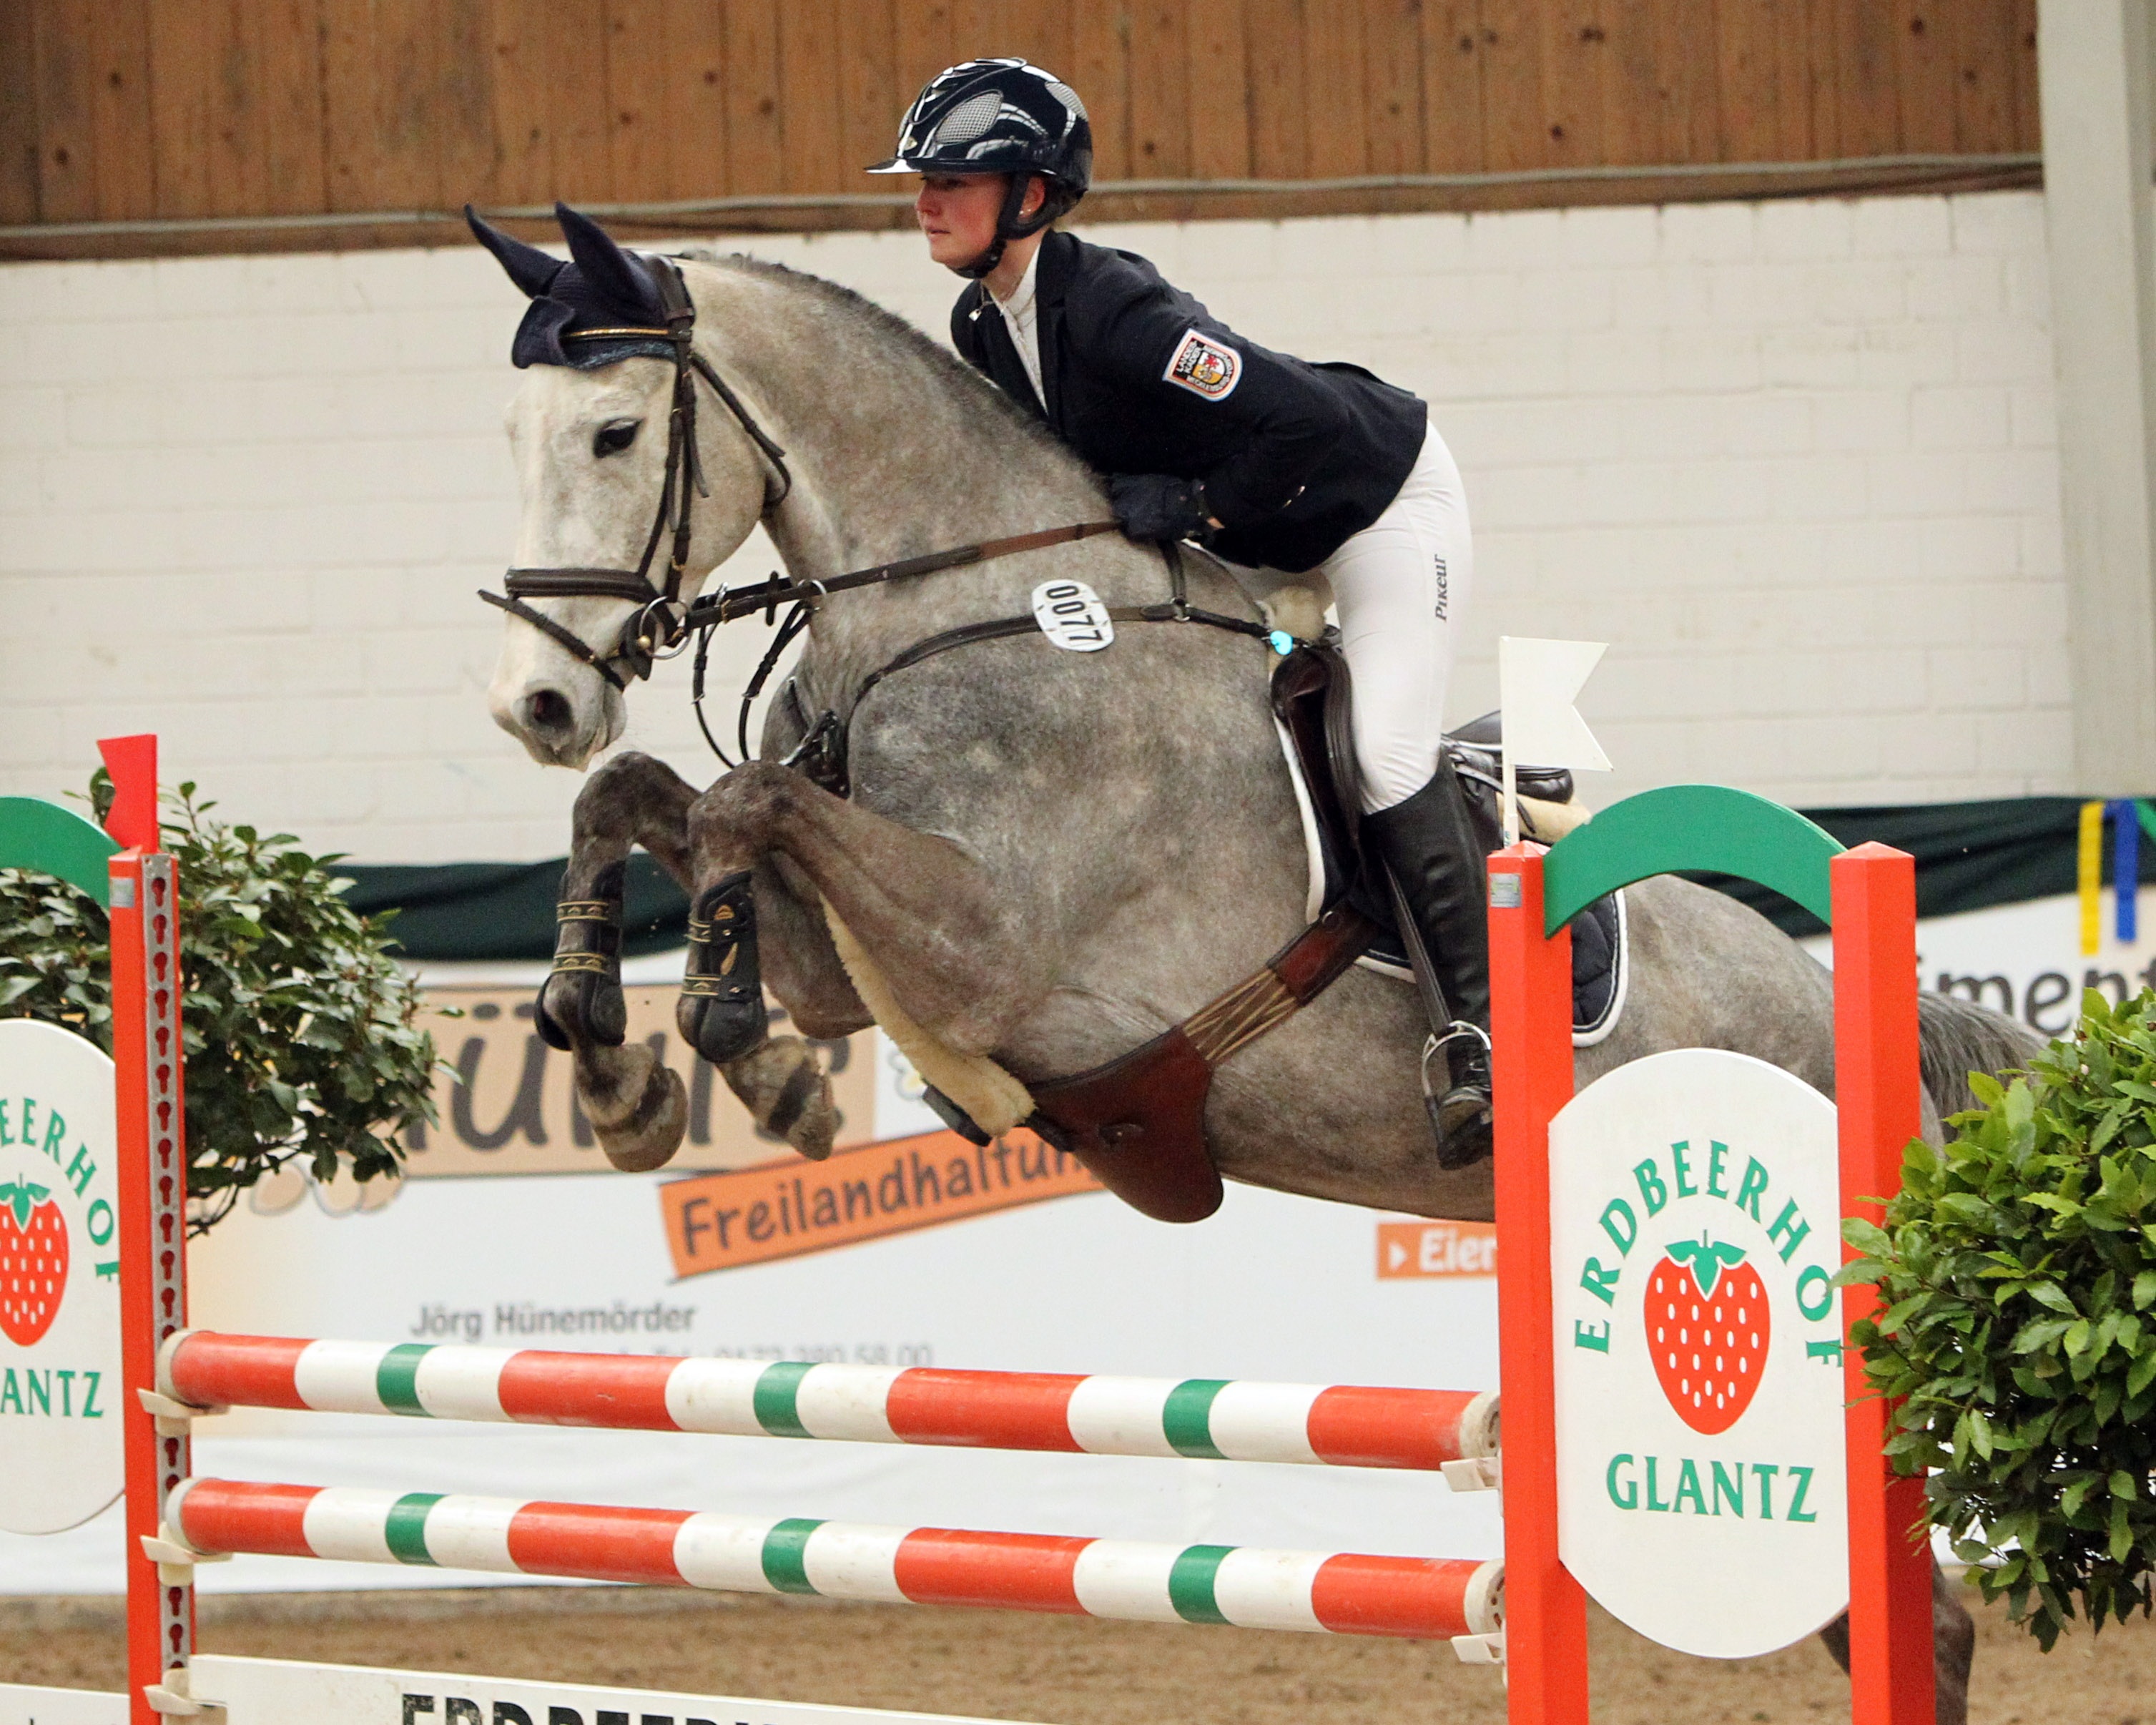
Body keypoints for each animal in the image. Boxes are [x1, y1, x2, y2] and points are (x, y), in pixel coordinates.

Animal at [476, 209, 2035, 1716]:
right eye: (516, 433)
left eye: (614, 432)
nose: (534, 700)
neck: (973, 603)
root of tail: (1848, 1004)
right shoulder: (857, 960)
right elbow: (642, 796)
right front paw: (619, 1069)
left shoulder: (984, 945)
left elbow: (743, 808)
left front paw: (738, 1056)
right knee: (1912, 1617)